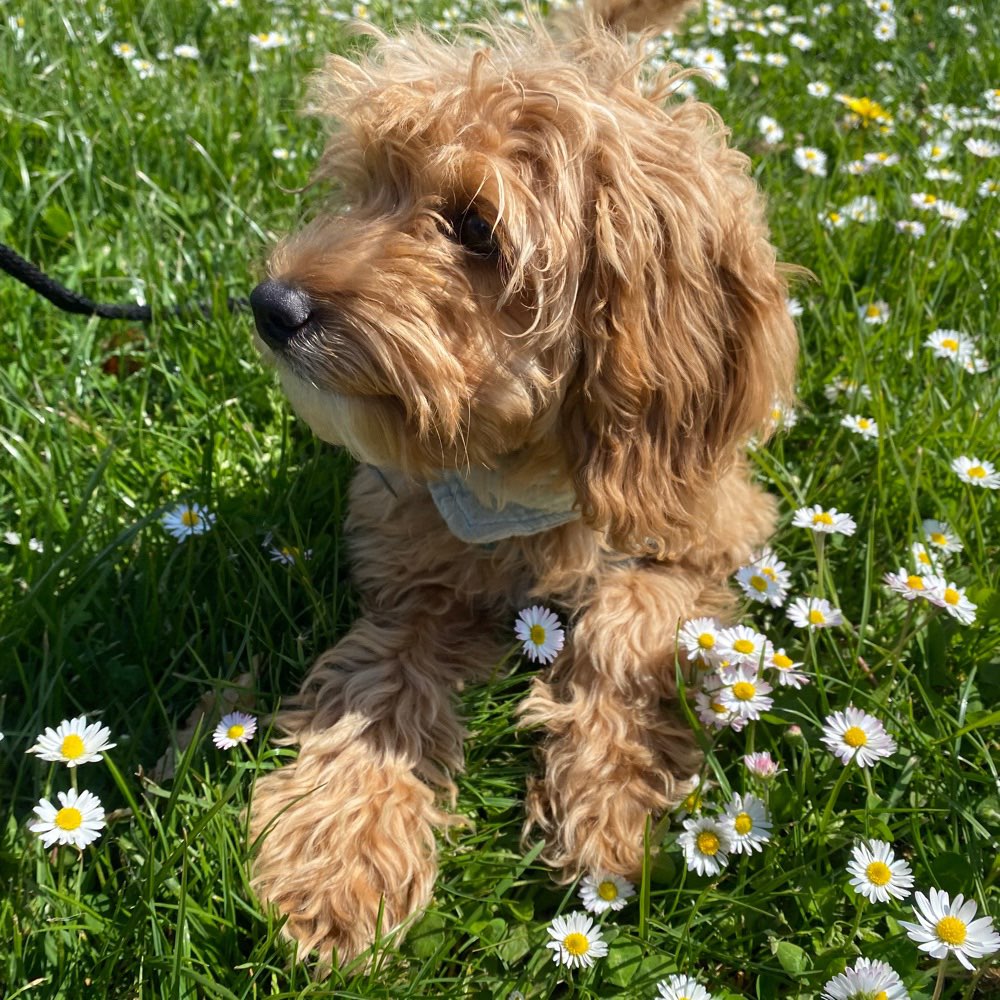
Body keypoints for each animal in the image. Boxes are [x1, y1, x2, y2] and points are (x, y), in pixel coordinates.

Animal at [250, 0, 796, 968]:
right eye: (367, 187)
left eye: (476, 228)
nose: (273, 306)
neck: (521, 472)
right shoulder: (412, 565)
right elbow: (380, 684)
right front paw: (338, 855)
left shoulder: (710, 529)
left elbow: (628, 622)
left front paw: (614, 803)